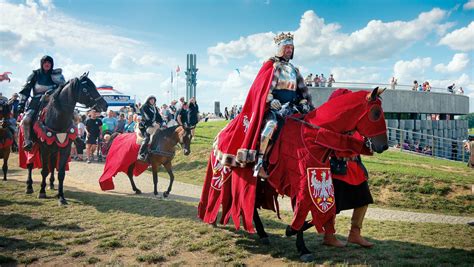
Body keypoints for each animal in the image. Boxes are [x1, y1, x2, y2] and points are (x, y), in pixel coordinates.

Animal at [26, 73, 107, 205]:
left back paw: (51, 184)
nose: (105, 105)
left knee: (52, 165)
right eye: (86, 89)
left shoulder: (65, 149)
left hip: (54, 150)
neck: (56, 119)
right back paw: (29, 186)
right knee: (30, 164)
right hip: (33, 146)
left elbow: (61, 173)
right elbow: (44, 170)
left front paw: (61, 197)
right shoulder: (44, 149)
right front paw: (42, 192)